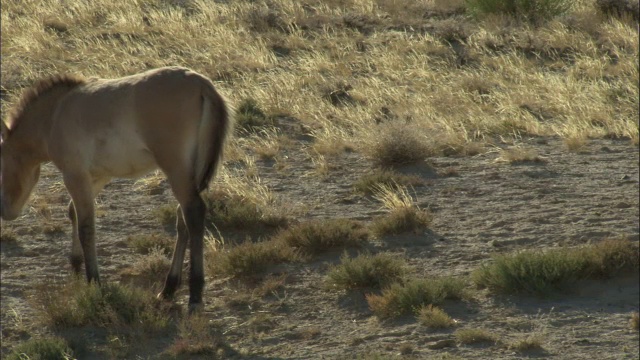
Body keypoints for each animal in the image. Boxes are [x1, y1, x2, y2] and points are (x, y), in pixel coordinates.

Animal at [0, 67, 232, 312]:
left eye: (1, 162)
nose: (5, 210)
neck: (54, 114)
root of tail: (200, 83)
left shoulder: (75, 175)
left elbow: (86, 227)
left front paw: (94, 281)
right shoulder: (98, 176)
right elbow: (73, 212)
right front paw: (76, 265)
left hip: (176, 170)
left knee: (193, 213)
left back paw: (194, 294)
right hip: (191, 175)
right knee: (183, 219)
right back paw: (169, 288)